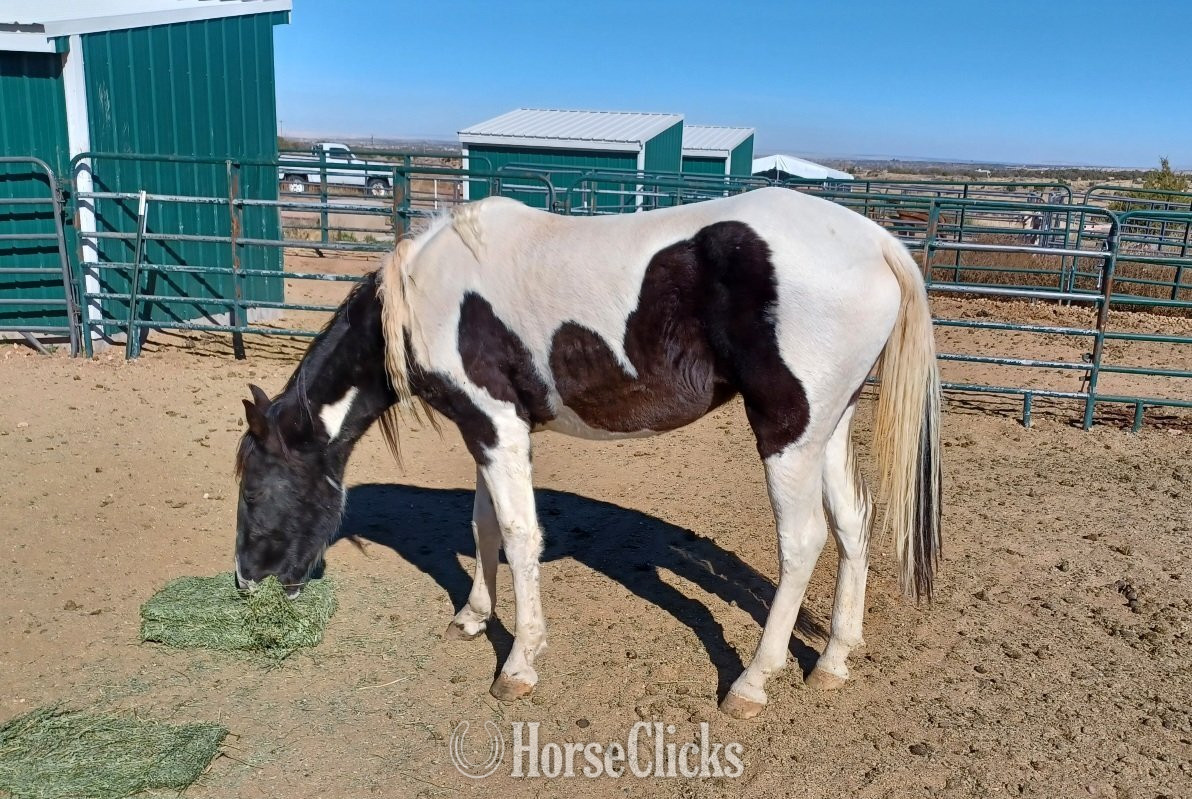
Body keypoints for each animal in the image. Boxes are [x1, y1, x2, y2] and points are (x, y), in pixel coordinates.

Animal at [233, 186, 942, 720]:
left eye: (253, 488)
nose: (246, 580)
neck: (429, 296)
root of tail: (878, 243)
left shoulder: (496, 425)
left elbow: (520, 536)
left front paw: (519, 664)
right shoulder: (486, 429)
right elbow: (483, 524)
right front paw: (473, 617)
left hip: (786, 431)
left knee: (802, 541)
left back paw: (752, 682)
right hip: (829, 426)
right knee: (853, 523)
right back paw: (834, 661)